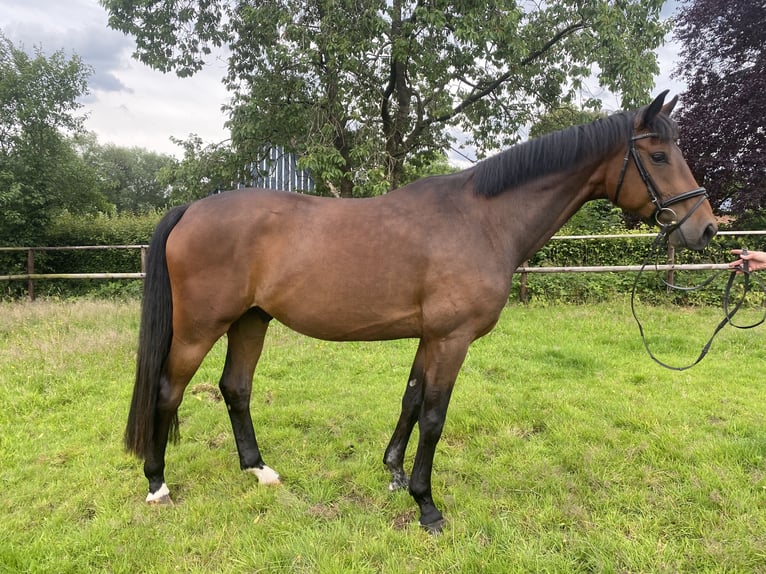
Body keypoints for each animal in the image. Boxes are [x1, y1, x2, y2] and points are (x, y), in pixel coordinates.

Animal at [123, 92, 716, 532]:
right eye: (658, 156)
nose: (706, 227)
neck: (483, 220)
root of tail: (190, 209)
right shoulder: (451, 339)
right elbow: (433, 416)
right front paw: (426, 504)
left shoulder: (430, 337)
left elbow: (410, 400)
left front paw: (393, 474)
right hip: (200, 328)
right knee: (168, 391)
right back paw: (157, 483)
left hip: (251, 320)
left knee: (235, 387)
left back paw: (258, 471)